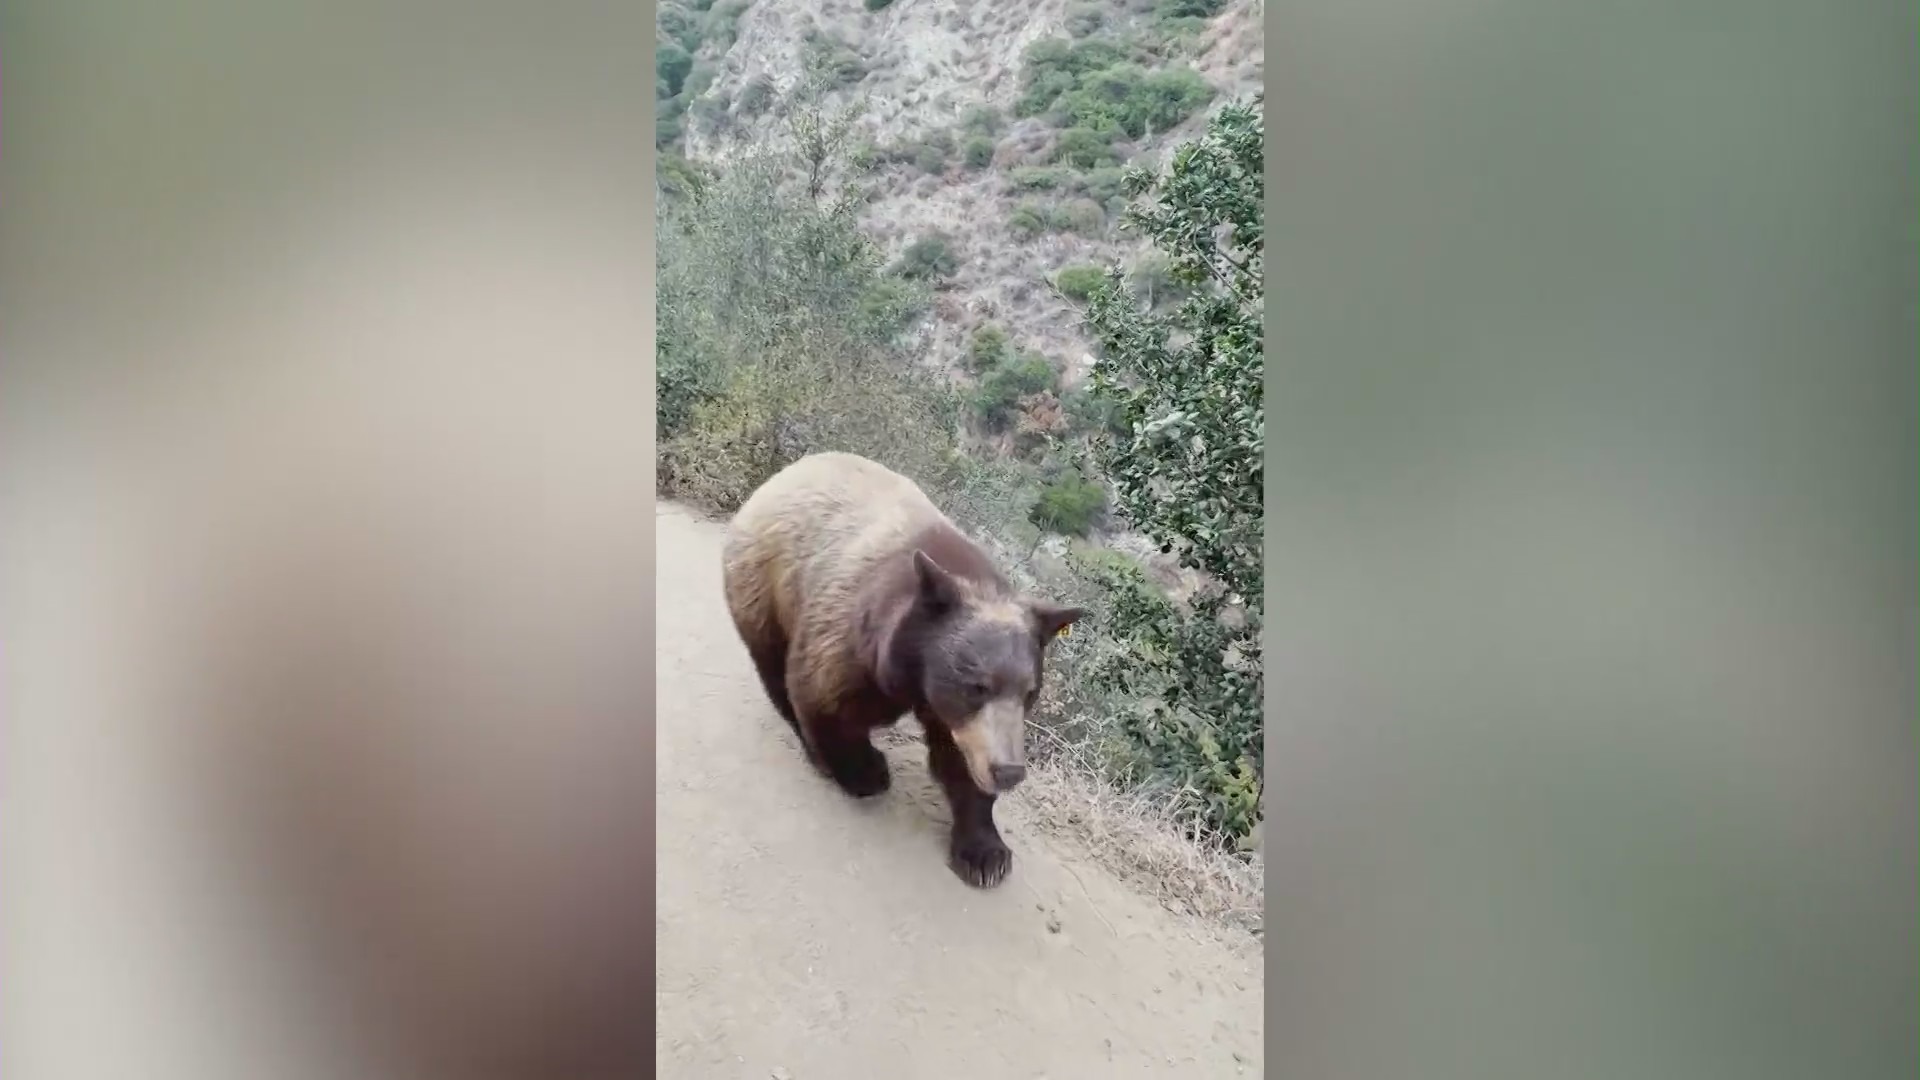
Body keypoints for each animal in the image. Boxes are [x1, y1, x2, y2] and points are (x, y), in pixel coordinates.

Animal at [718, 449, 1082, 887]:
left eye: (1030, 692)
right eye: (977, 685)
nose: (1009, 771)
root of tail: (784, 474)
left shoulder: (957, 711)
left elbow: (960, 759)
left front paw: (985, 853)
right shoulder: (851, 637)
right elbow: (824, 697)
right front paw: (866, 770)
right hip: (761, 584)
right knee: (773, 665)